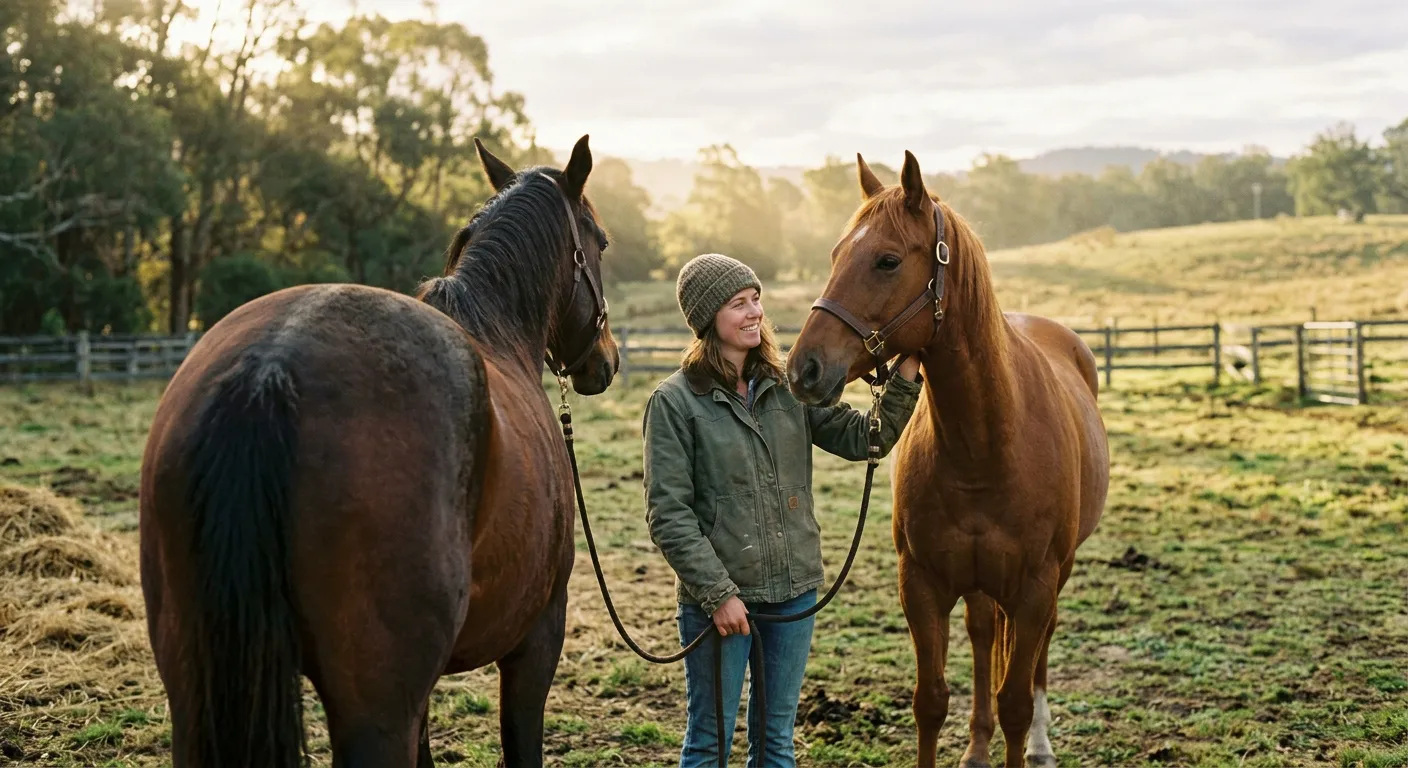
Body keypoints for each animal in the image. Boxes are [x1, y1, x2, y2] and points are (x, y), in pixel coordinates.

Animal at [139, 135, 619, 767]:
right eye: (602, 242)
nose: (606, 361)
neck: (498, 334)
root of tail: (269, 367)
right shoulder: (537, 637)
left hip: (195, 694)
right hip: (375, 709)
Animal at [785, 151, 1109, 768]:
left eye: (887, 261)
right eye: (836, 255)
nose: (803, 369)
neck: (983, 447)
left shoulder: (1035, 587)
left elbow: (1016, 703)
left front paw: (1026, 736)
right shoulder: (922, 584)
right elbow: (931, 700)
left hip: (1054, 577)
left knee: (1038, 653)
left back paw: (1042, 745)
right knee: (984, 636)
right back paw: (978, 746)